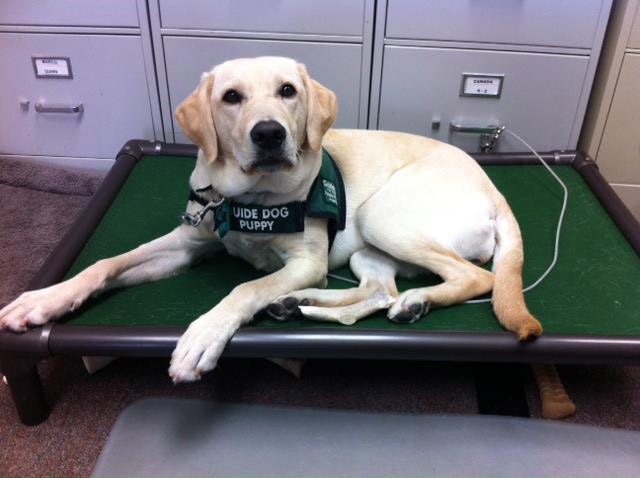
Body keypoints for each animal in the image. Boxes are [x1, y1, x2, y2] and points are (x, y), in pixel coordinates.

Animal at [0, 58, 540, 382]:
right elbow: (106, 263)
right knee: (374, 293)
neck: (249, 198)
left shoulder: (306, 260)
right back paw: (302, 305)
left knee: (474, 278)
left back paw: (413, 301)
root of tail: (495, 190)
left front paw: (203, 335)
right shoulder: (187, 243)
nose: (268, 134)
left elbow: (244, 288)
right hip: (369, 248)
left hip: (381, 216)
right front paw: (45, 299)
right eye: (231, 97)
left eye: (287, 91)